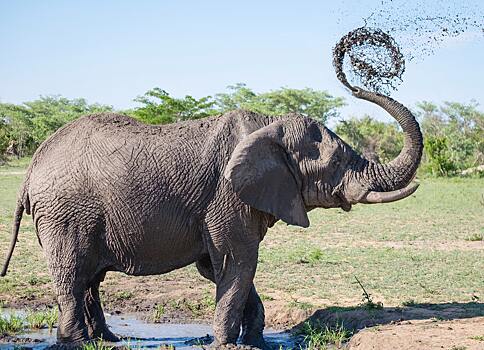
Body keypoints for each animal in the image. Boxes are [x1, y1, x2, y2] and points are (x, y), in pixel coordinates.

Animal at [0, 82, 420, 348]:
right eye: (335, 163)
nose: (352, 83)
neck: (268, 125)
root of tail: (32, 167)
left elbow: (223, 268)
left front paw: (254, 342)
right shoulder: (226, 196)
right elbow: (239, 261)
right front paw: (226, 344)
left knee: (89, 278)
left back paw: (106, 340)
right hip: (64, 214)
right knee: (72, 275)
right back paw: (76, 343)